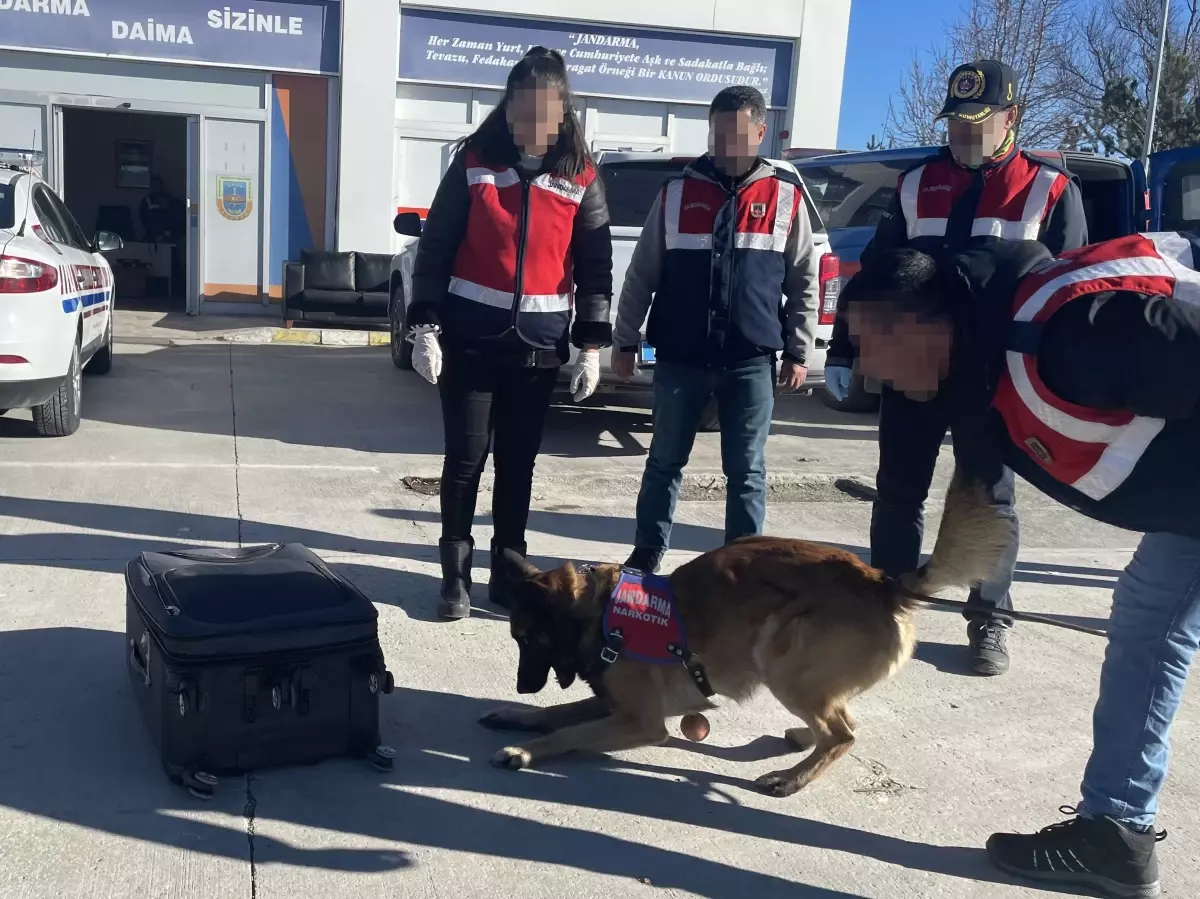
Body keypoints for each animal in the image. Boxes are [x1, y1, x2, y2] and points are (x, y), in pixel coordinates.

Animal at [477, 472, 1012, 796]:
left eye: (529, 640)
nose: (522, 684)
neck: (600, 609)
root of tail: (881, 582)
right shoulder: (614, 704)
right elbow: (559, 712)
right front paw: (518, 715)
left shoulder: (640, 722)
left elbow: (570, 730)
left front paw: (525, 751)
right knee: (842, 721)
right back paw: (802, 740)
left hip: (780, 656)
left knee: (842, 733)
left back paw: (791, 779)